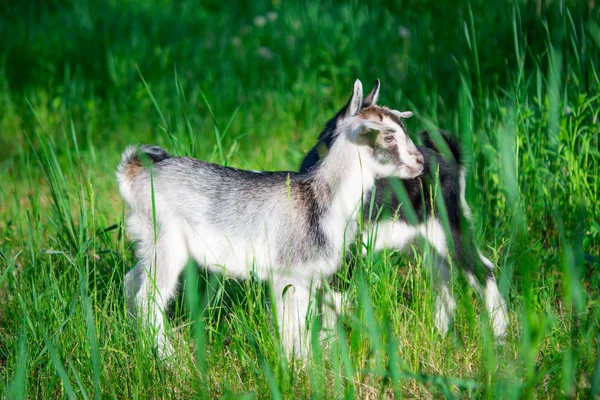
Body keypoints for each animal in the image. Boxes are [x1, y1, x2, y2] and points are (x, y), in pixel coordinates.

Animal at [117, 79, 424, 356]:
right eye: (388, 136)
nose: (420, 161)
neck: (319, 196)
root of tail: (135, 174)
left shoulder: (309, 278)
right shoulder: (287, 276)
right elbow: (290, 327)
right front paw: (296, 368)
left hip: (149, 244)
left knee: (131, 282)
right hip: (166, 243)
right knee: (149, 298)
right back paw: (167, 359)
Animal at [300, 79, 506, 340]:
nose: (418, 163)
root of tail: (451, 161)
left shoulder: (348, 254)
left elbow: (331, 302)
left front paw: (329, 346)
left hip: (451, 226)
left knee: (482, 269)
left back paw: (500, 334)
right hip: (422, 240)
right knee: (443, 278)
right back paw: (439, 333)